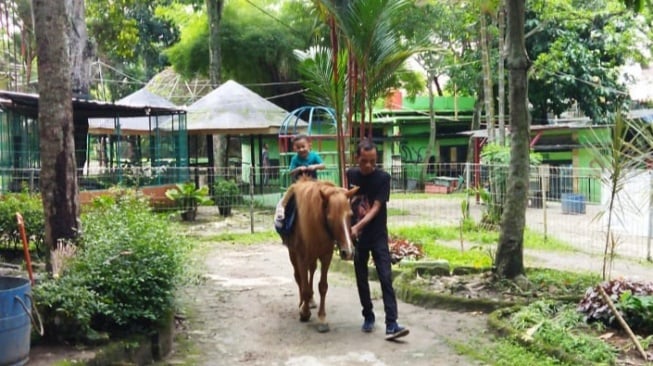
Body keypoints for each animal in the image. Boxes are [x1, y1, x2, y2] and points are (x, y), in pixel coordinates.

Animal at [280, 176, 356, 334]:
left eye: (350, 215)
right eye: (330, 217)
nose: (348, 252)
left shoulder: (326, 256)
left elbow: (323, 286)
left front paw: (322, 318)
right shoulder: (302, 256)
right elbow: (304, 286)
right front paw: (304, 312)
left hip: (313, 256)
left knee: (312, 271)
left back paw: (311, 301)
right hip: (293, 253)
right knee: (299, 278)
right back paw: (303, 303)